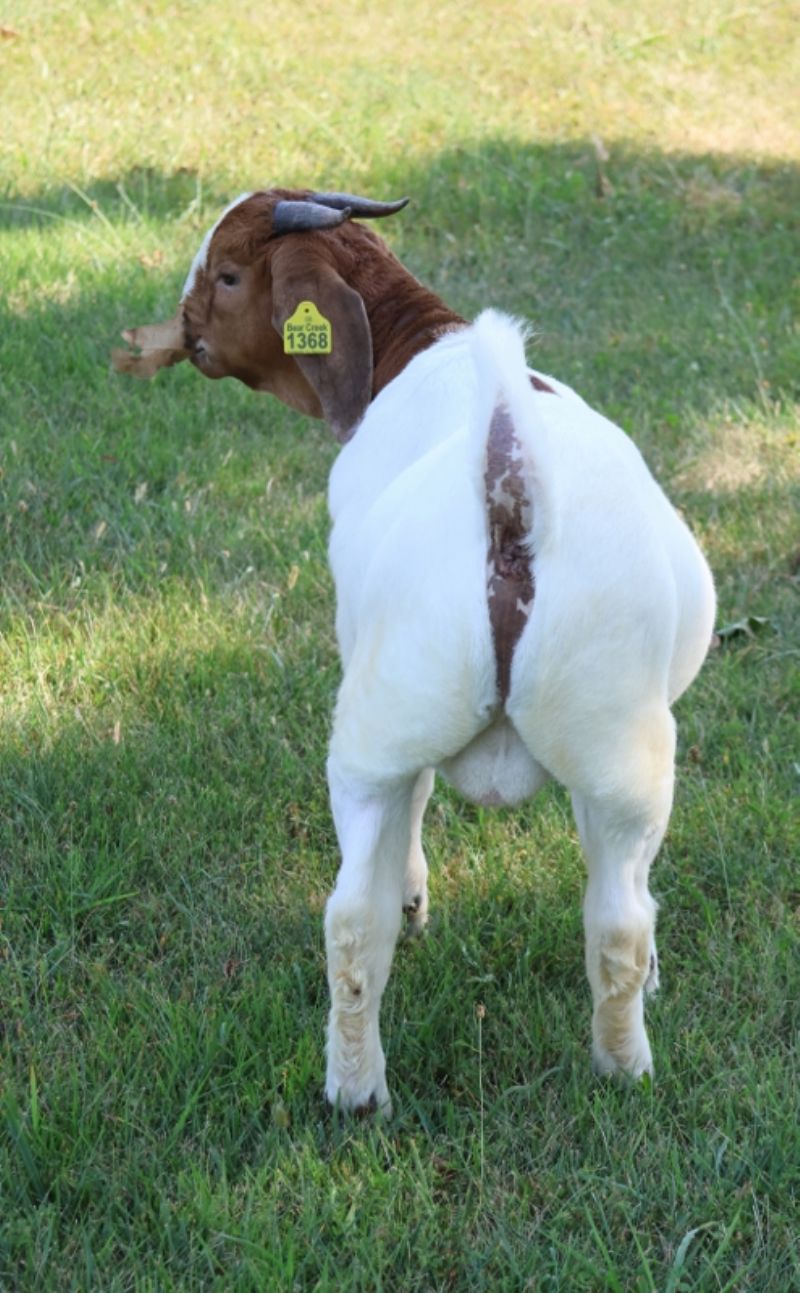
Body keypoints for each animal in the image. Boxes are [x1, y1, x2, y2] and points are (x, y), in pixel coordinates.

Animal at [114, 189, 716, 1114]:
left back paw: (356, 1086)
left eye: (228, 274)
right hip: (618, 745)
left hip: (379, 731)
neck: (422, 347)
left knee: (353, 915)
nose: (182, 331)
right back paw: (622, 1066)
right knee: (616, 917)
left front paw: (412, 896)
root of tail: (510, 494)